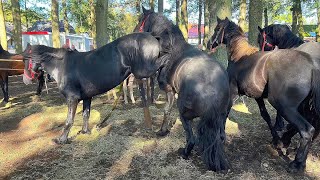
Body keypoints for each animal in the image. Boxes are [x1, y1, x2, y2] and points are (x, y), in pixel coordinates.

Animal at [22, 32, 162, 145]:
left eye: (26, 59)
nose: (26, 80)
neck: (61, 65)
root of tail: (152, 37)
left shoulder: (72, 99)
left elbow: (69, 120)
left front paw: (61, 140)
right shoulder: (87, 97)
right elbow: (86, 115)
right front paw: (85, 131)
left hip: (144, 71)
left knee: (162, 64)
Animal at [134, 6, 231, 172]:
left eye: (140, 20)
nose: (133, 32)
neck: (171, 48)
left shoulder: (169, 90)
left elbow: (166, 109)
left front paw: (162, 130)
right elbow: (167, 110)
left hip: (184, 113)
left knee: (192, 139)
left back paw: (184, 152)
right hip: (222, 117)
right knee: (221, 137)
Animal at [208, 17, 320, 173]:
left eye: (217, 29)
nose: (209, 44)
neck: (240, 57)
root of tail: (311, 66)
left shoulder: (233, 92)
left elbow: (225, 112)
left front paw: (221, 135)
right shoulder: (258, 97)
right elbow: (265, 116)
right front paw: (276, 140)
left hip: (286, 108)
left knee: (307, 130)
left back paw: (297, 164)